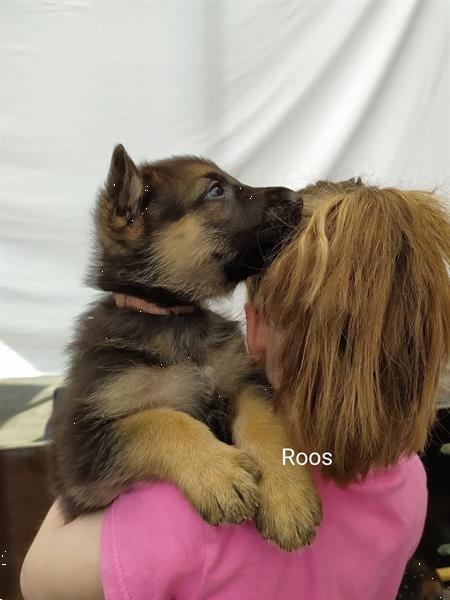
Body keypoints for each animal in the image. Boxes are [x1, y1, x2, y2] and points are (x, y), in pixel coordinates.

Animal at [51, 144, 320, 548]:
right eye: (215, 191)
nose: (297, 199)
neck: (172, 318)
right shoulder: (82, 453)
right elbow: (157, 420)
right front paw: (218, 474)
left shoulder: (243, 381)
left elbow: (264, 423)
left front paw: (288, 496)